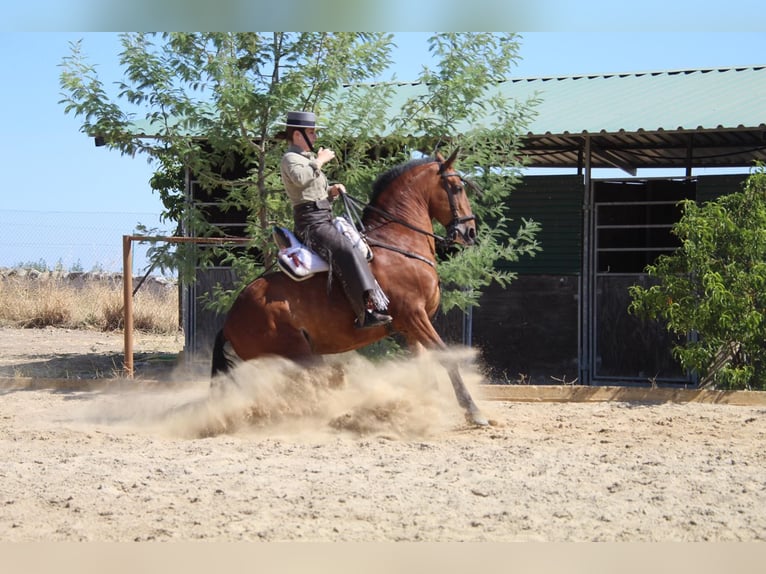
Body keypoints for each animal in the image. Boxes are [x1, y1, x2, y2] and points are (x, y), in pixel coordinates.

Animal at [207, 150, 488, 428]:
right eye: (456, 187)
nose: (470, 231)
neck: (399, 244)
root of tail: (230, 321)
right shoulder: (414, 316)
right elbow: (445, 357)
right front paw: (473, 410)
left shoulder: (411, 327)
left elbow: (424, 367)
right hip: (295, 354)